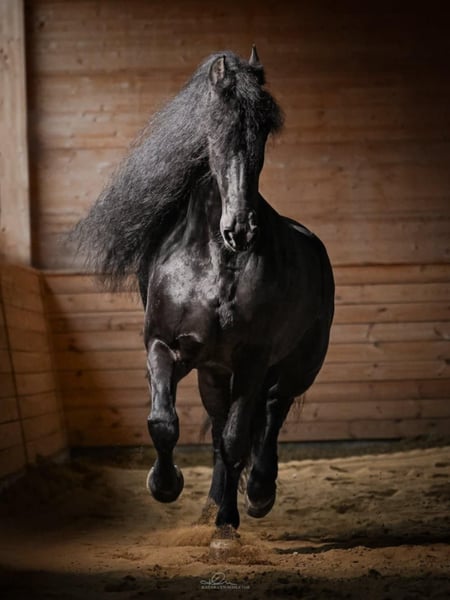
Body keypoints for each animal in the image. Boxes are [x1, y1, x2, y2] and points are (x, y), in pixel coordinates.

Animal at [73, 47, 334, 538]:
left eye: (263, 129)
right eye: (217, 124)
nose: (241, 229)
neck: (214, 262)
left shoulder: (252, 361)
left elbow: (236, 441)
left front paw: (227, 525)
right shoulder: (165, 347)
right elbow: (164, 423)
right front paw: (166, 486)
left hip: (297, 367)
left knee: (271, 415)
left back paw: (258, 495)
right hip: (214, 374)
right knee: (218, 428)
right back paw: (213, 501)